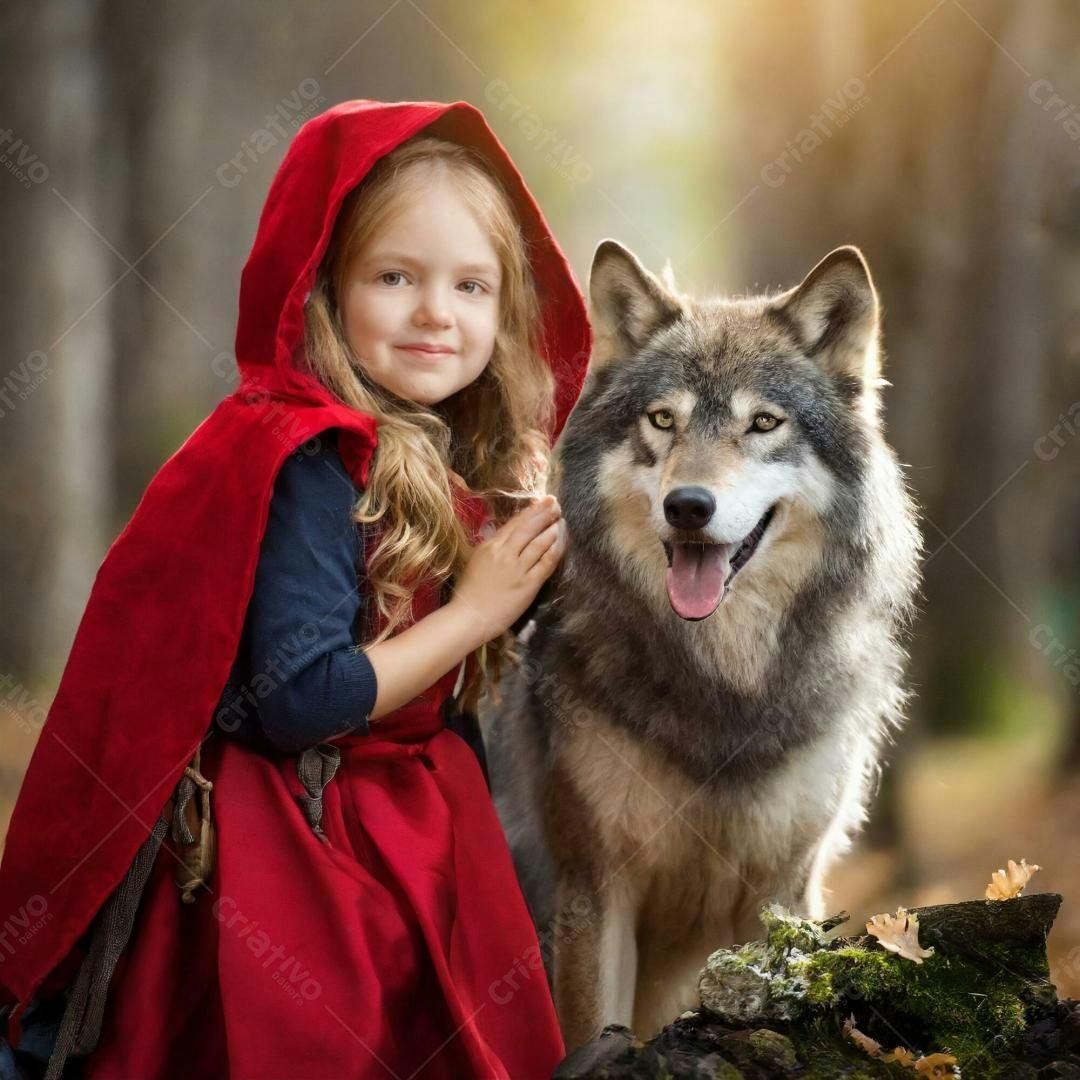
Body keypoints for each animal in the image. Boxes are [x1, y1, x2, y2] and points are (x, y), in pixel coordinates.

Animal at [482, 239, 921, 1050]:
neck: (723, 686)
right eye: (663, 419)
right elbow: (594, 1034)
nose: (689, 506)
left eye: (763, 422)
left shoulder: (786, 894)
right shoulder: (594, 891)